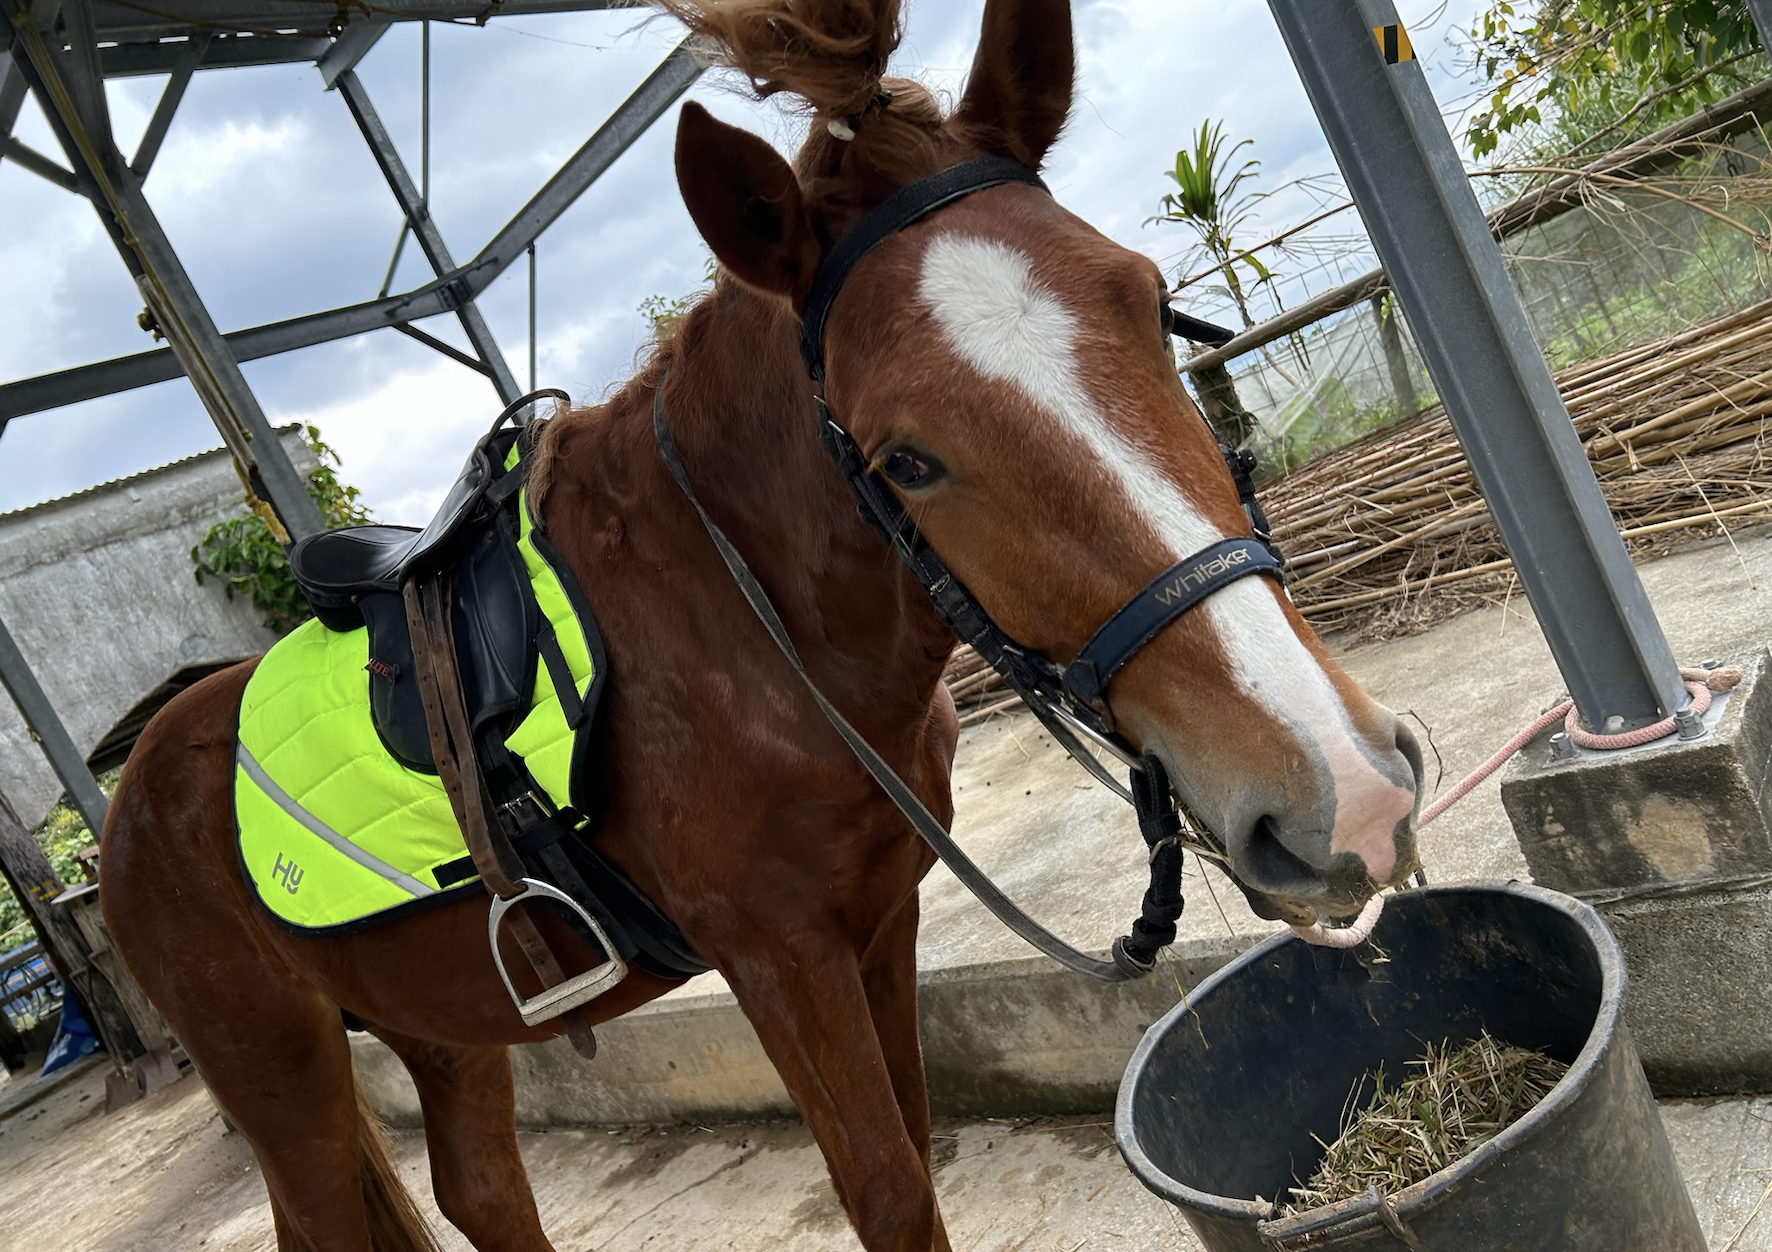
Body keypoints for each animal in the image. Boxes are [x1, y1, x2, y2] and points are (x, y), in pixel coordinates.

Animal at [100, 2, 1424, 1252]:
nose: (1343, 791)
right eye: (905, 458)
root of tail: (129, 796)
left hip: (443, 1025)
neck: (734, 637)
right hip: (284, 1071)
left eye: (1149, 305)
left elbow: (915, 1143)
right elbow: (886, 1189)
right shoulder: (777, 958)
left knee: (480, 1192)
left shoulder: (876, 919)